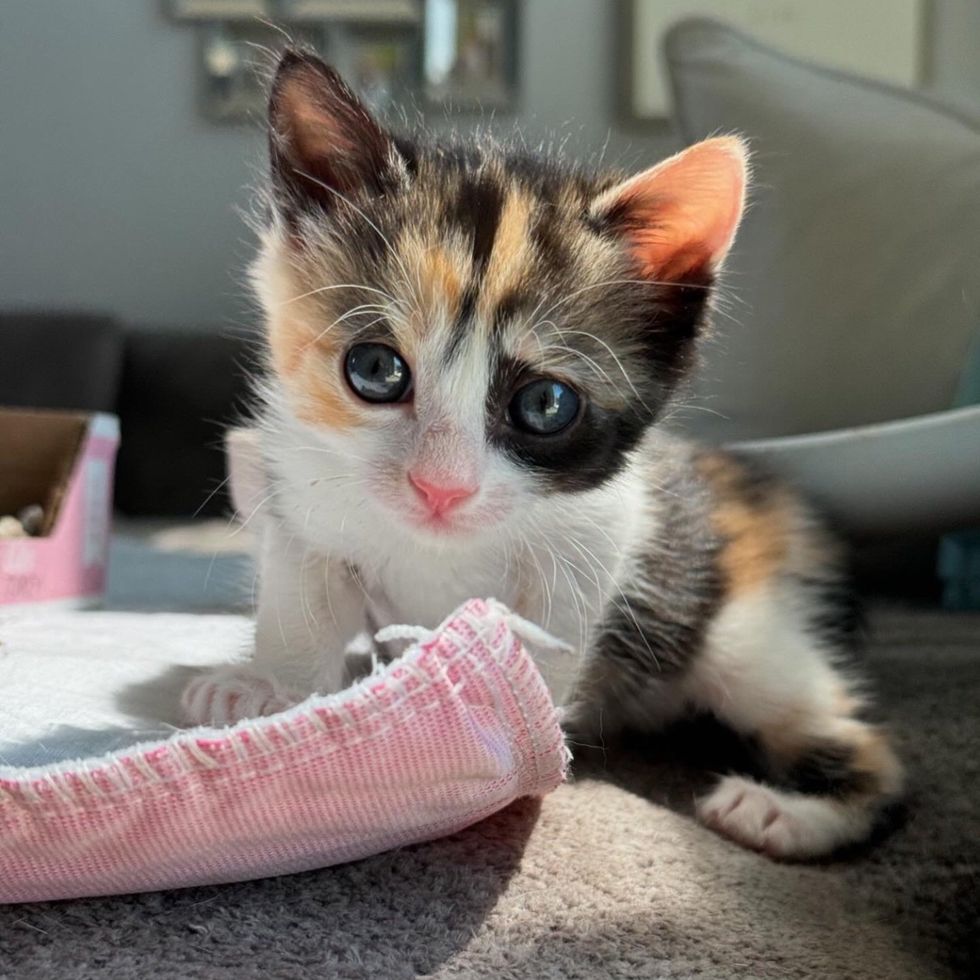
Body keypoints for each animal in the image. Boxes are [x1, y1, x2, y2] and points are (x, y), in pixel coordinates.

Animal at [180, 51, 900, 856]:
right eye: (374, 369)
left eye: (546, 405)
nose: (441, 488)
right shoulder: (303, 488)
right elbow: (302, 596)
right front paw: (270, 689)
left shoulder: (601, 531)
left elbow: (545, 638)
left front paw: (512, 745)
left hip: (741, 627)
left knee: (850, 734)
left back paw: (788, 813)